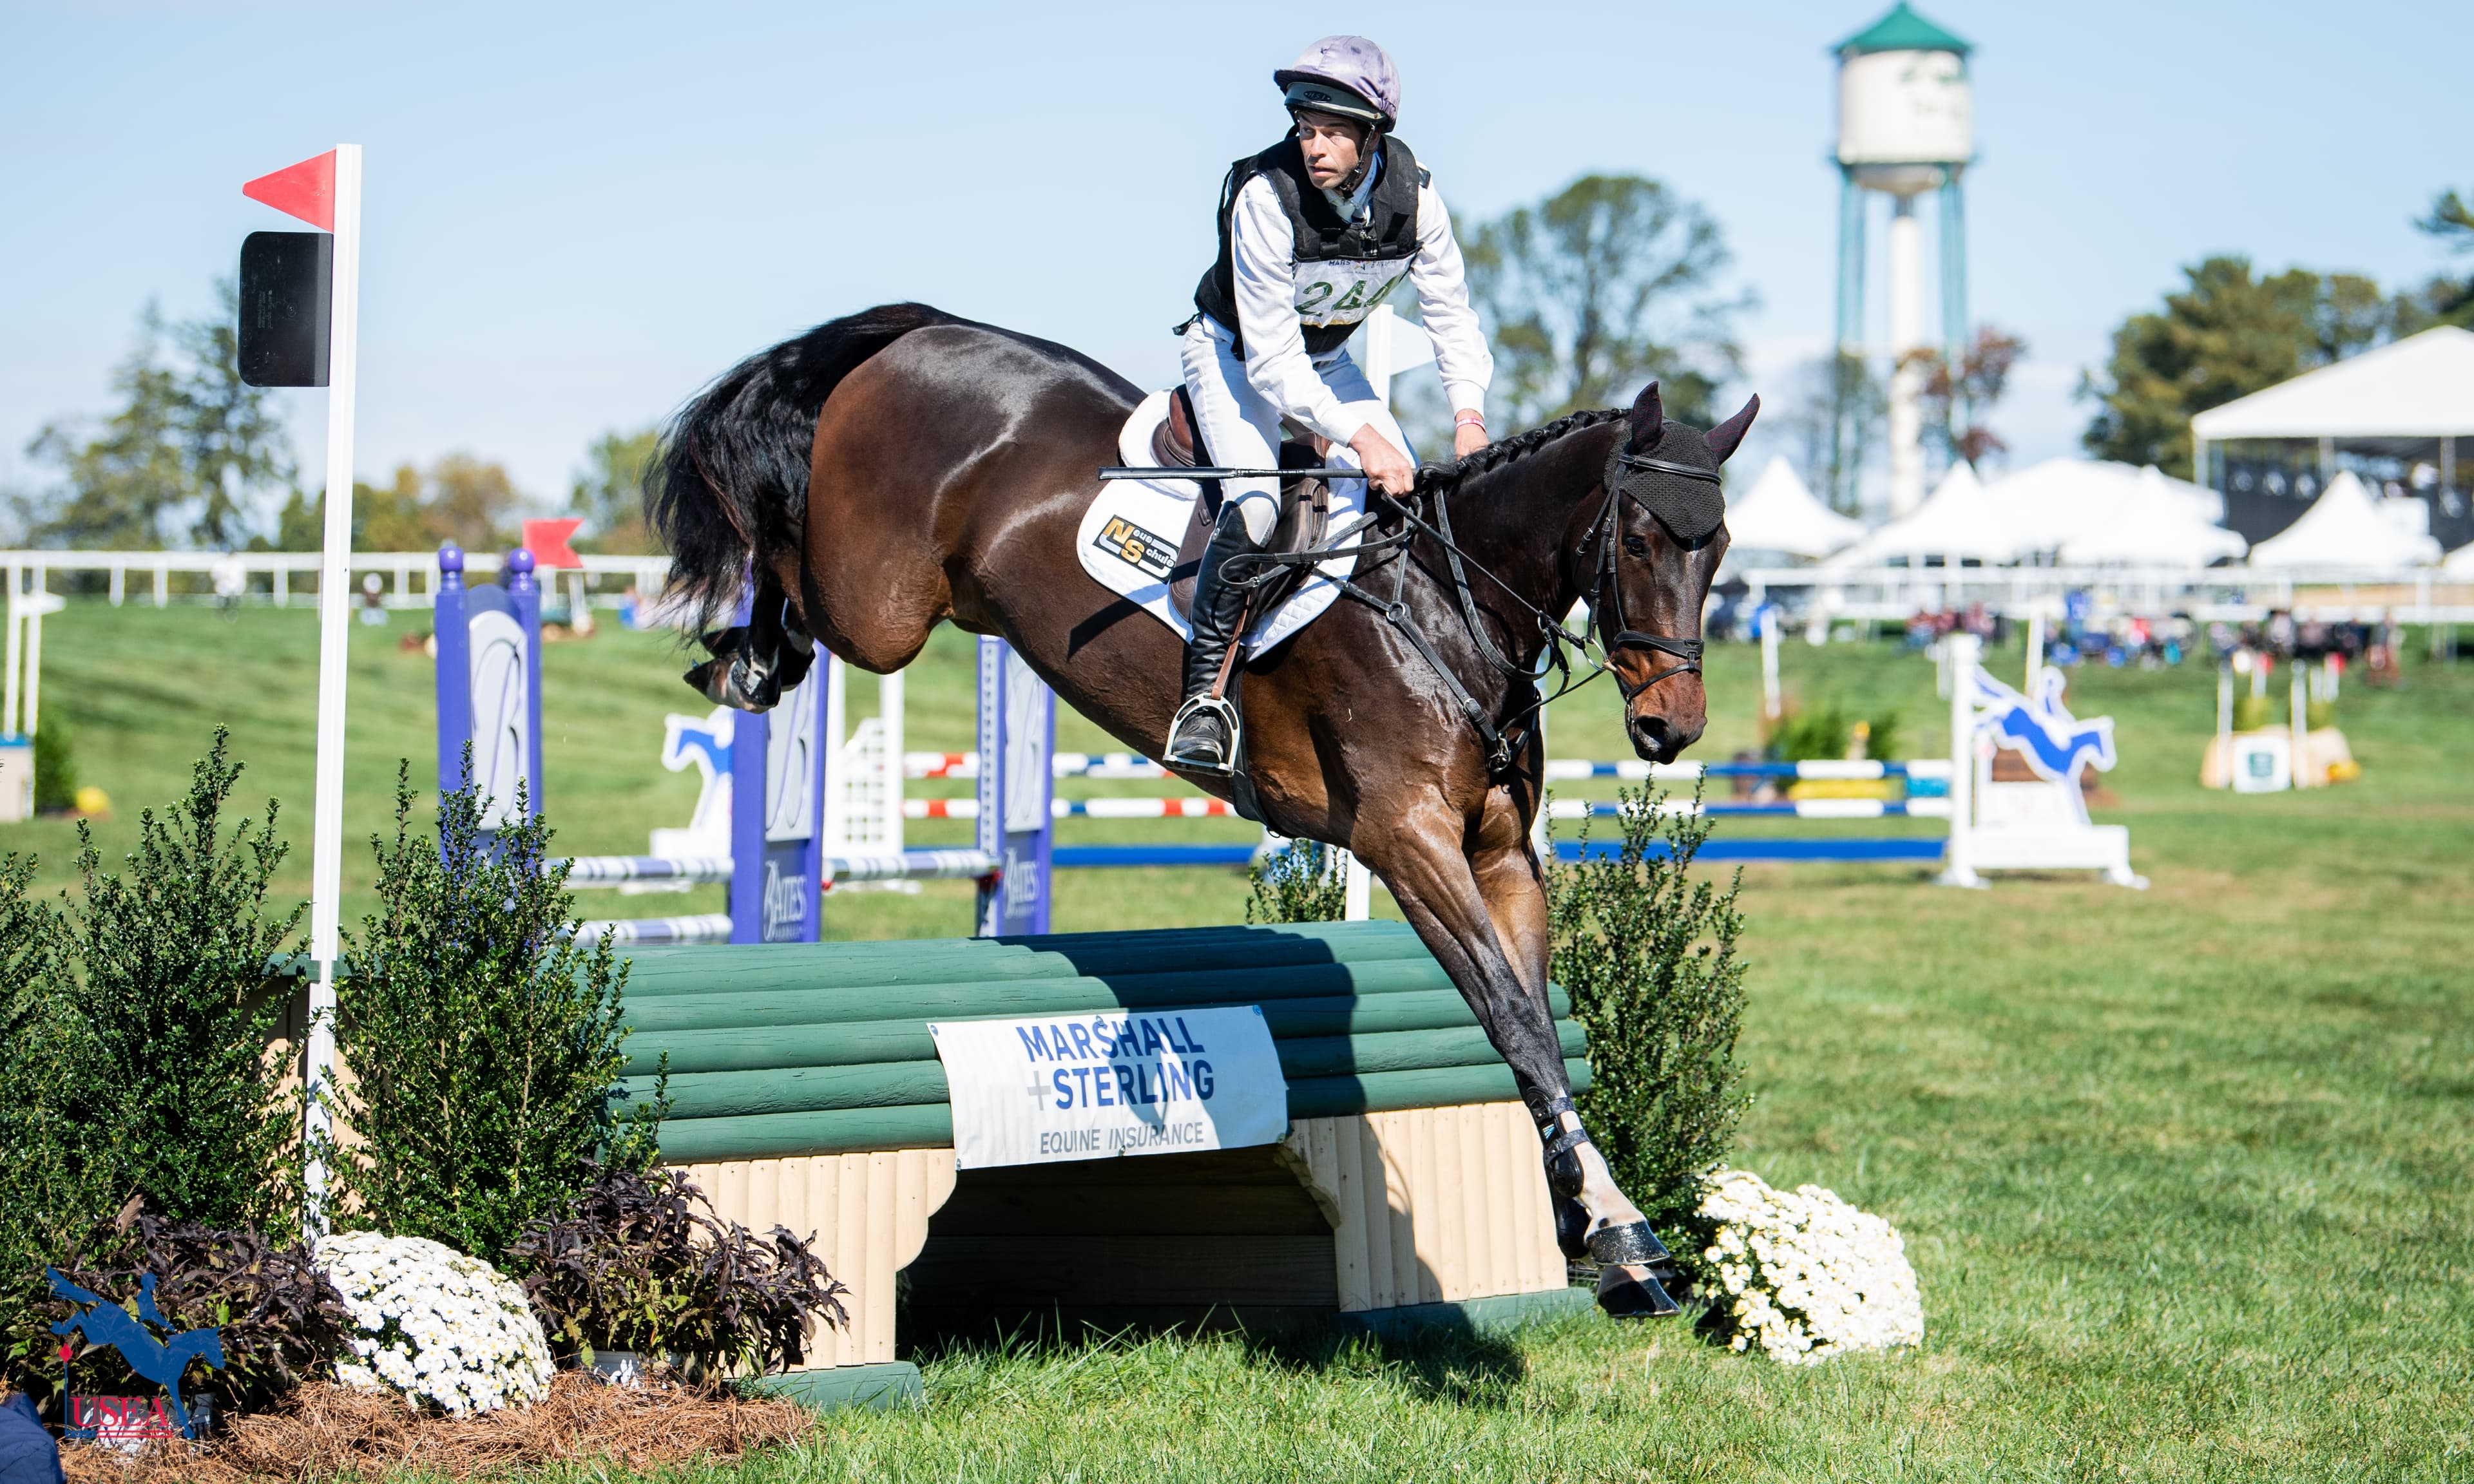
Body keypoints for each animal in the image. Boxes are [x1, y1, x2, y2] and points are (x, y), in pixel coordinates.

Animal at [647, 303, 1752, 1317]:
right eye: (1640, 538)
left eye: (1720, 547)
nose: (1672, 726)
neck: (1448, 603)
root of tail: (926, 329)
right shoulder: (1407, 841)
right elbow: (1511, 1017)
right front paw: (1612, 1222)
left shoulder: (1497, 853)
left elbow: (1537, 1034)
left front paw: (1601, 1223)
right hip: (879, 609)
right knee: (784, 553)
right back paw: (745, 655)